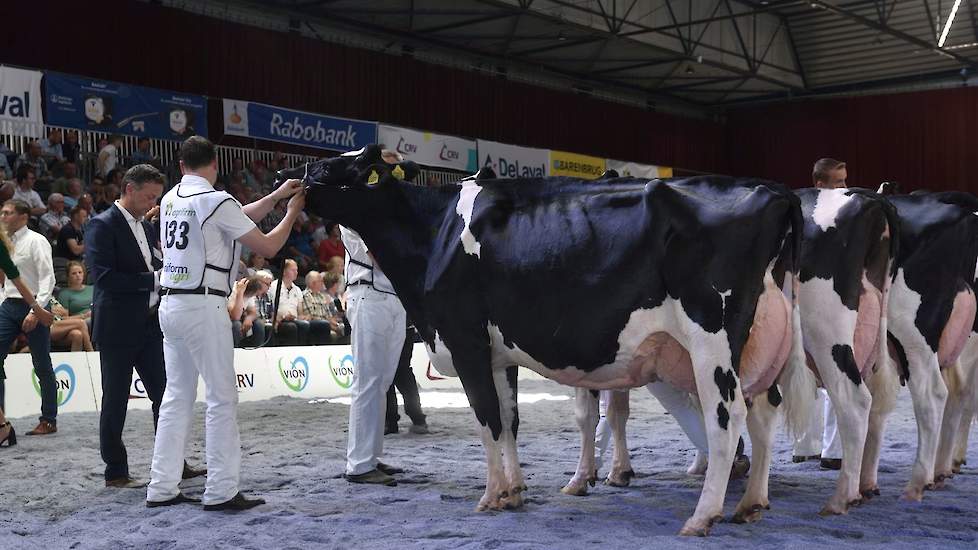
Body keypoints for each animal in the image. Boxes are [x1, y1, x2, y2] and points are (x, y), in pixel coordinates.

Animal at [294, 146, 804, 536]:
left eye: (335, 167)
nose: (287, 175)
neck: (433, 234)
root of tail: (773, 190)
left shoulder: (465, 340)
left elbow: (486, 420)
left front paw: (492, 494)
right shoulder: (500, 353)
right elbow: (509, 419)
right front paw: (516, 491)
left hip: (711, 339)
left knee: (727, 418)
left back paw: (703, 516)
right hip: (760, 344)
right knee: (764, 411)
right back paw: (751, 504)